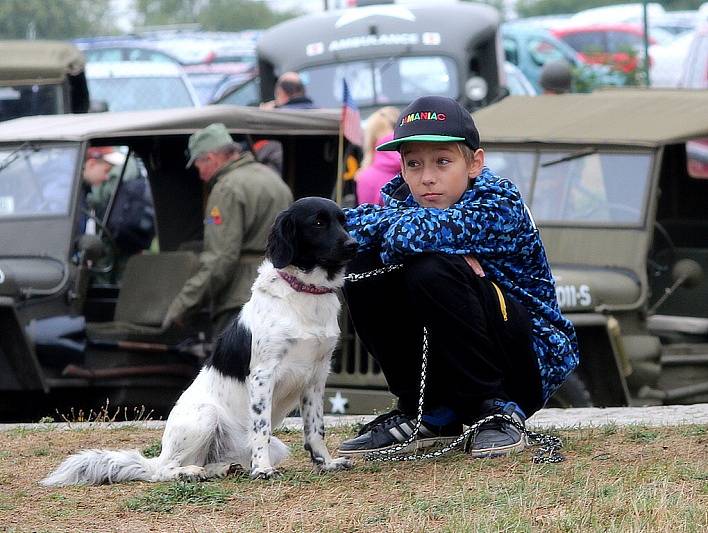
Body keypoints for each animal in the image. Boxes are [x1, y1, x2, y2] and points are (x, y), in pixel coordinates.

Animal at [41, 196, 356, 486]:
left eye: (343, 221)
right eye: (318, 223)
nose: (354, 245)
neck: (305, 293)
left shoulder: (317, 376)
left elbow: (315, 428)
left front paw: (326, 463)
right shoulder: (263, 374)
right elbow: (261, 428)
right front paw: (262, 469)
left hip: (273, 446)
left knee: (212, 462)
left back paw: (224, 468)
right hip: (206, 416)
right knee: (163, 471)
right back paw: (190, 472)